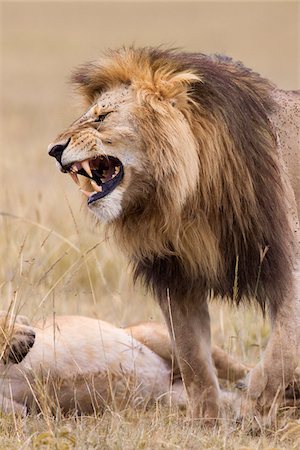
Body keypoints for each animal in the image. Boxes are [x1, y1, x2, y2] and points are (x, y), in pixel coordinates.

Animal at [48, 47, 298, 424]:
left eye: (102, 117)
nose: (54, 150)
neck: (187, 198)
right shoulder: (175, 278)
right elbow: (192, 355)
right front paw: (206, 421)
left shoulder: (286, 266)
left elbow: (282, 349)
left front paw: (256, 407)